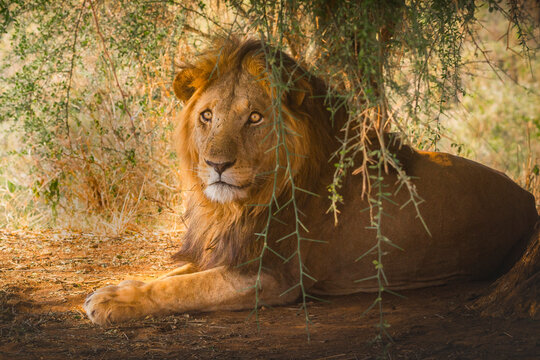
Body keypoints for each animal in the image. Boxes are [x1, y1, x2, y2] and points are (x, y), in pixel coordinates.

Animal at [83, 38, 536, 324]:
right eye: (207, 116)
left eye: (254, 118)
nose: (216, 164)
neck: (240, 205)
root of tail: (528, 198)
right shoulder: (231, 251)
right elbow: (174, 276)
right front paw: (113, 289)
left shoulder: (272, 276)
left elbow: (183, 288)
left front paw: (112, 300)